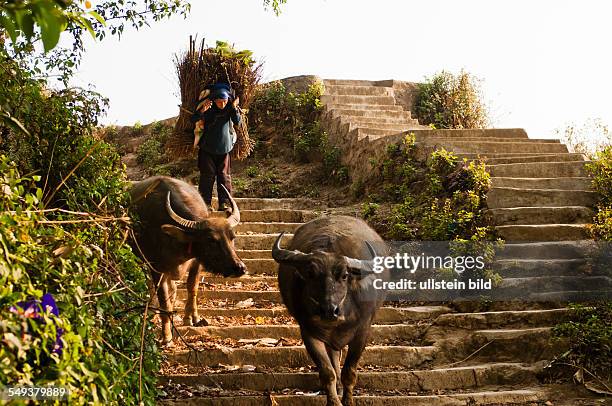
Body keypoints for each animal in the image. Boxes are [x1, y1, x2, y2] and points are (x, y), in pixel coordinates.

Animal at [130, 176, 246, 344]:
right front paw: (166, 336)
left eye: (232, 237)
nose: (239, 268)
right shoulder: (156, 268)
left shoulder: (196, 262)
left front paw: (191, 318)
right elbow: (164, 301)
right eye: (211, 240)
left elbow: (192, 289)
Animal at [274, 216, 390, 406]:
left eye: (344, 275)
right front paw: (334, 401)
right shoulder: (308, 332)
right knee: (334, 358)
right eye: (311, 274)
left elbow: (349, 371)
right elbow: (327, 372)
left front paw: (348, 401)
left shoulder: (363, 331)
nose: (329, 310)